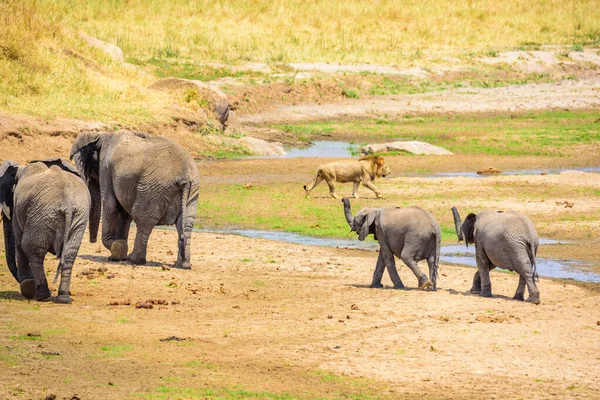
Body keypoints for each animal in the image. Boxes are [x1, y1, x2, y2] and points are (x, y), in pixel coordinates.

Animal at [0, 159, 89, 304]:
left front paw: (26, 284)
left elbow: (18, 242)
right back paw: (64, 297)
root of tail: (67, 204)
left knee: (32, 250)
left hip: (42, 214)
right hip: (78, 216)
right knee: (70, 253)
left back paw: (41, 296)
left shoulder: (18, 205)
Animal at [69, 130, 202, 268]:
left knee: (143, 220)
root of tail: (185, 175)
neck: (101, 135)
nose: (92, 241)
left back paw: (134, 260)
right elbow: (124, 214)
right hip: (192, 190)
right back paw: (183, 265)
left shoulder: (105, 168)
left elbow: (111, 206)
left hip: (153, 189)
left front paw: (117, 250)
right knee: (185, 224)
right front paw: (117, 254)